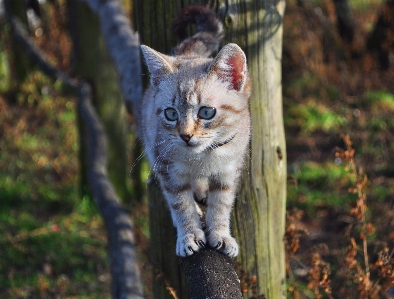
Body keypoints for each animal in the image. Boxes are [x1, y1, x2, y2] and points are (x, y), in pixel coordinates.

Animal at [139, 5, 249, 258]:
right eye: (171, 114)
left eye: (207, 112)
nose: (185, 135)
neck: (204, 157)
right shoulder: (168, 169)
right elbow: (181, 205)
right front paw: (190, 235)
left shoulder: (229, 169)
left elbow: (221, 204)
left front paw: (220, 234)